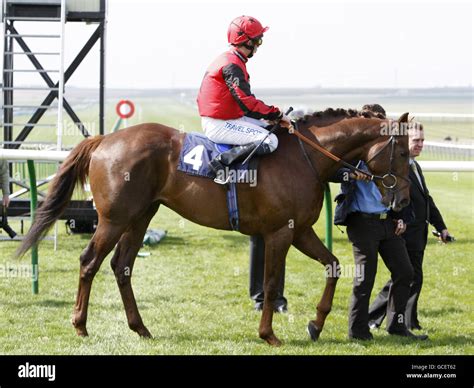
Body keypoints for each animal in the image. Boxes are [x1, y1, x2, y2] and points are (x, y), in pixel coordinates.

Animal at [16, 108, 412, 346]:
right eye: (405, 153)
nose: (405, 201)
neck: (307, 157)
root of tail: (102, 141)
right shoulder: (280, 233)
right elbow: (270, 283)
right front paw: (268, 334)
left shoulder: (300, 230)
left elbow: (333, 265)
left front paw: (316, 324)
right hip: (114, 219)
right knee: (90, 262)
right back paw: (80, 324)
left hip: (141, 216)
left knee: (121, 265)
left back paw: (140, 327)